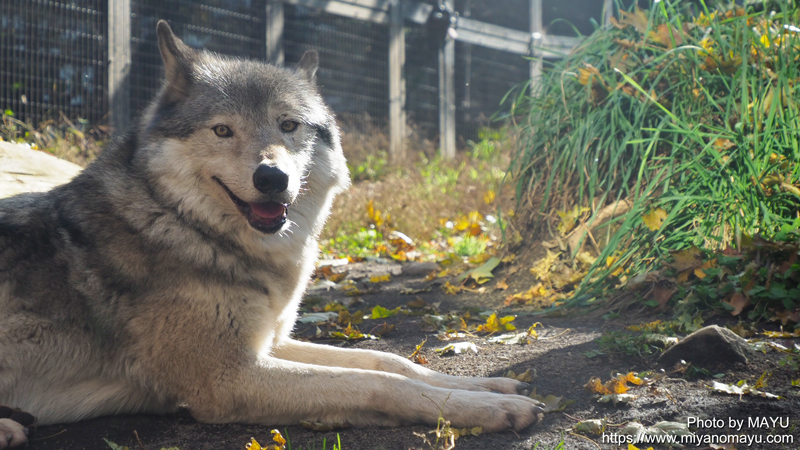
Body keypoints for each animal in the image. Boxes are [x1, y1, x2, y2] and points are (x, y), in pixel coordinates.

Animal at [0, 20, 544, 446]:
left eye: (288, 126)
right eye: (223, 130)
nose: (272, 178)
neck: (182, 223)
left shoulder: (270, 342)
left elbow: (386, 361)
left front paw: (488, 388)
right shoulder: (229, 378)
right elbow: (377, 384)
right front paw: (489, 411)